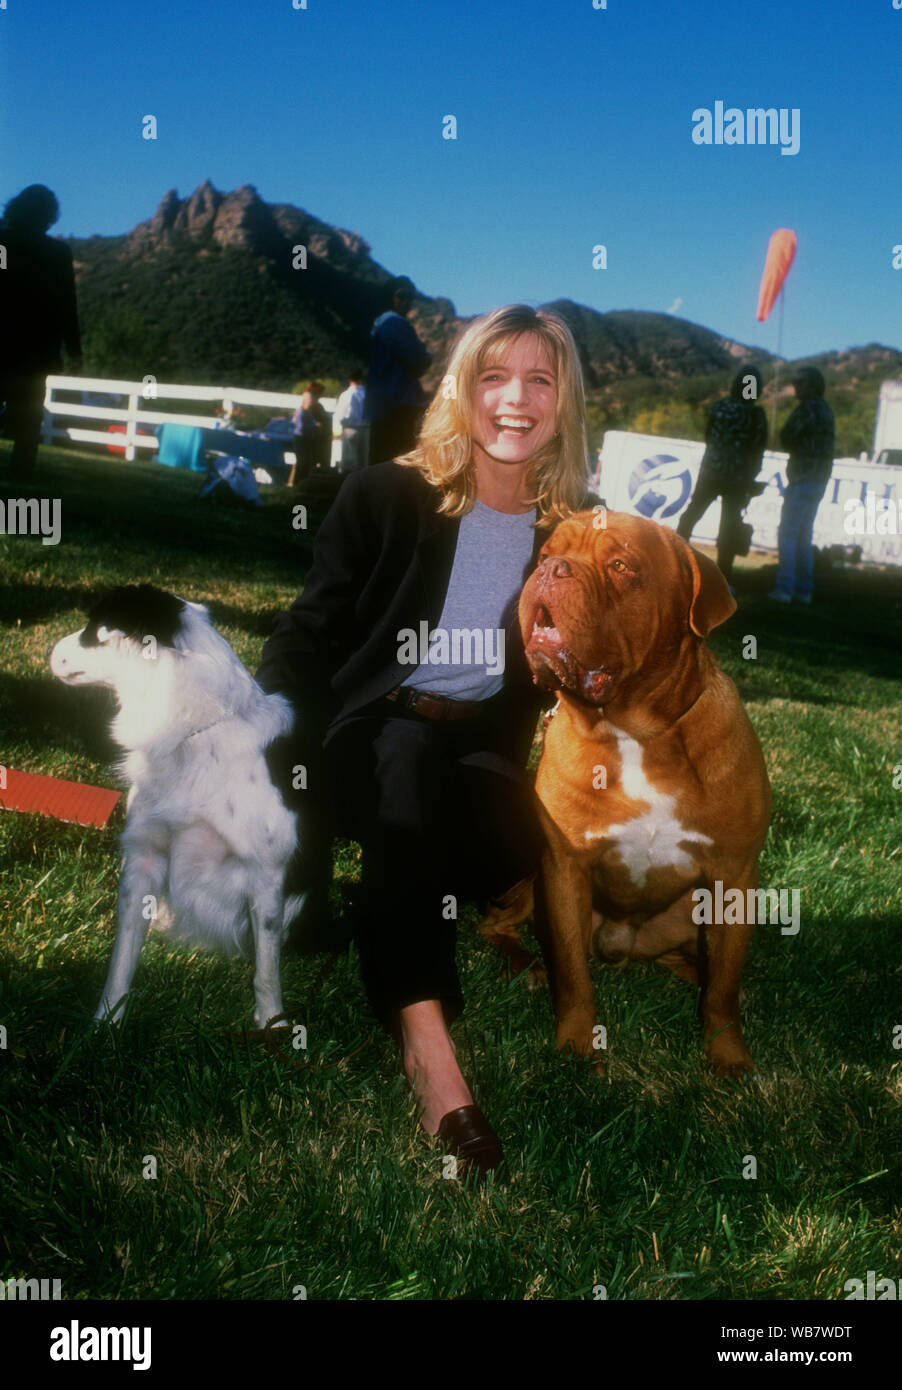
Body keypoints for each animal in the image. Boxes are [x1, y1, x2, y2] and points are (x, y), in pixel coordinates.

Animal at [50, 581, 309, 1028]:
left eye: (93, 630)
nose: (52, 653)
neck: (192, 733)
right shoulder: (144, 856)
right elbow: (122, 958)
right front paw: (106, 1024)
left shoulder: (266, 875)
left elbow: (267, 967)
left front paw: (272, 1025)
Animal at [480, 511, 772, 1073]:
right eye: (546, 552)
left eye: (621, 566)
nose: (553, 568)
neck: (633, 732)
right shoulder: (564, 869)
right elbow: (574, 974)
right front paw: (576, 1044)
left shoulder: (733, 876)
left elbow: (724, 984)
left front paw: (728, 1054)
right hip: (533, 887)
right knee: (496, 924)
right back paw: (524, 965)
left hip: (690, 910)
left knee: (698, 966)